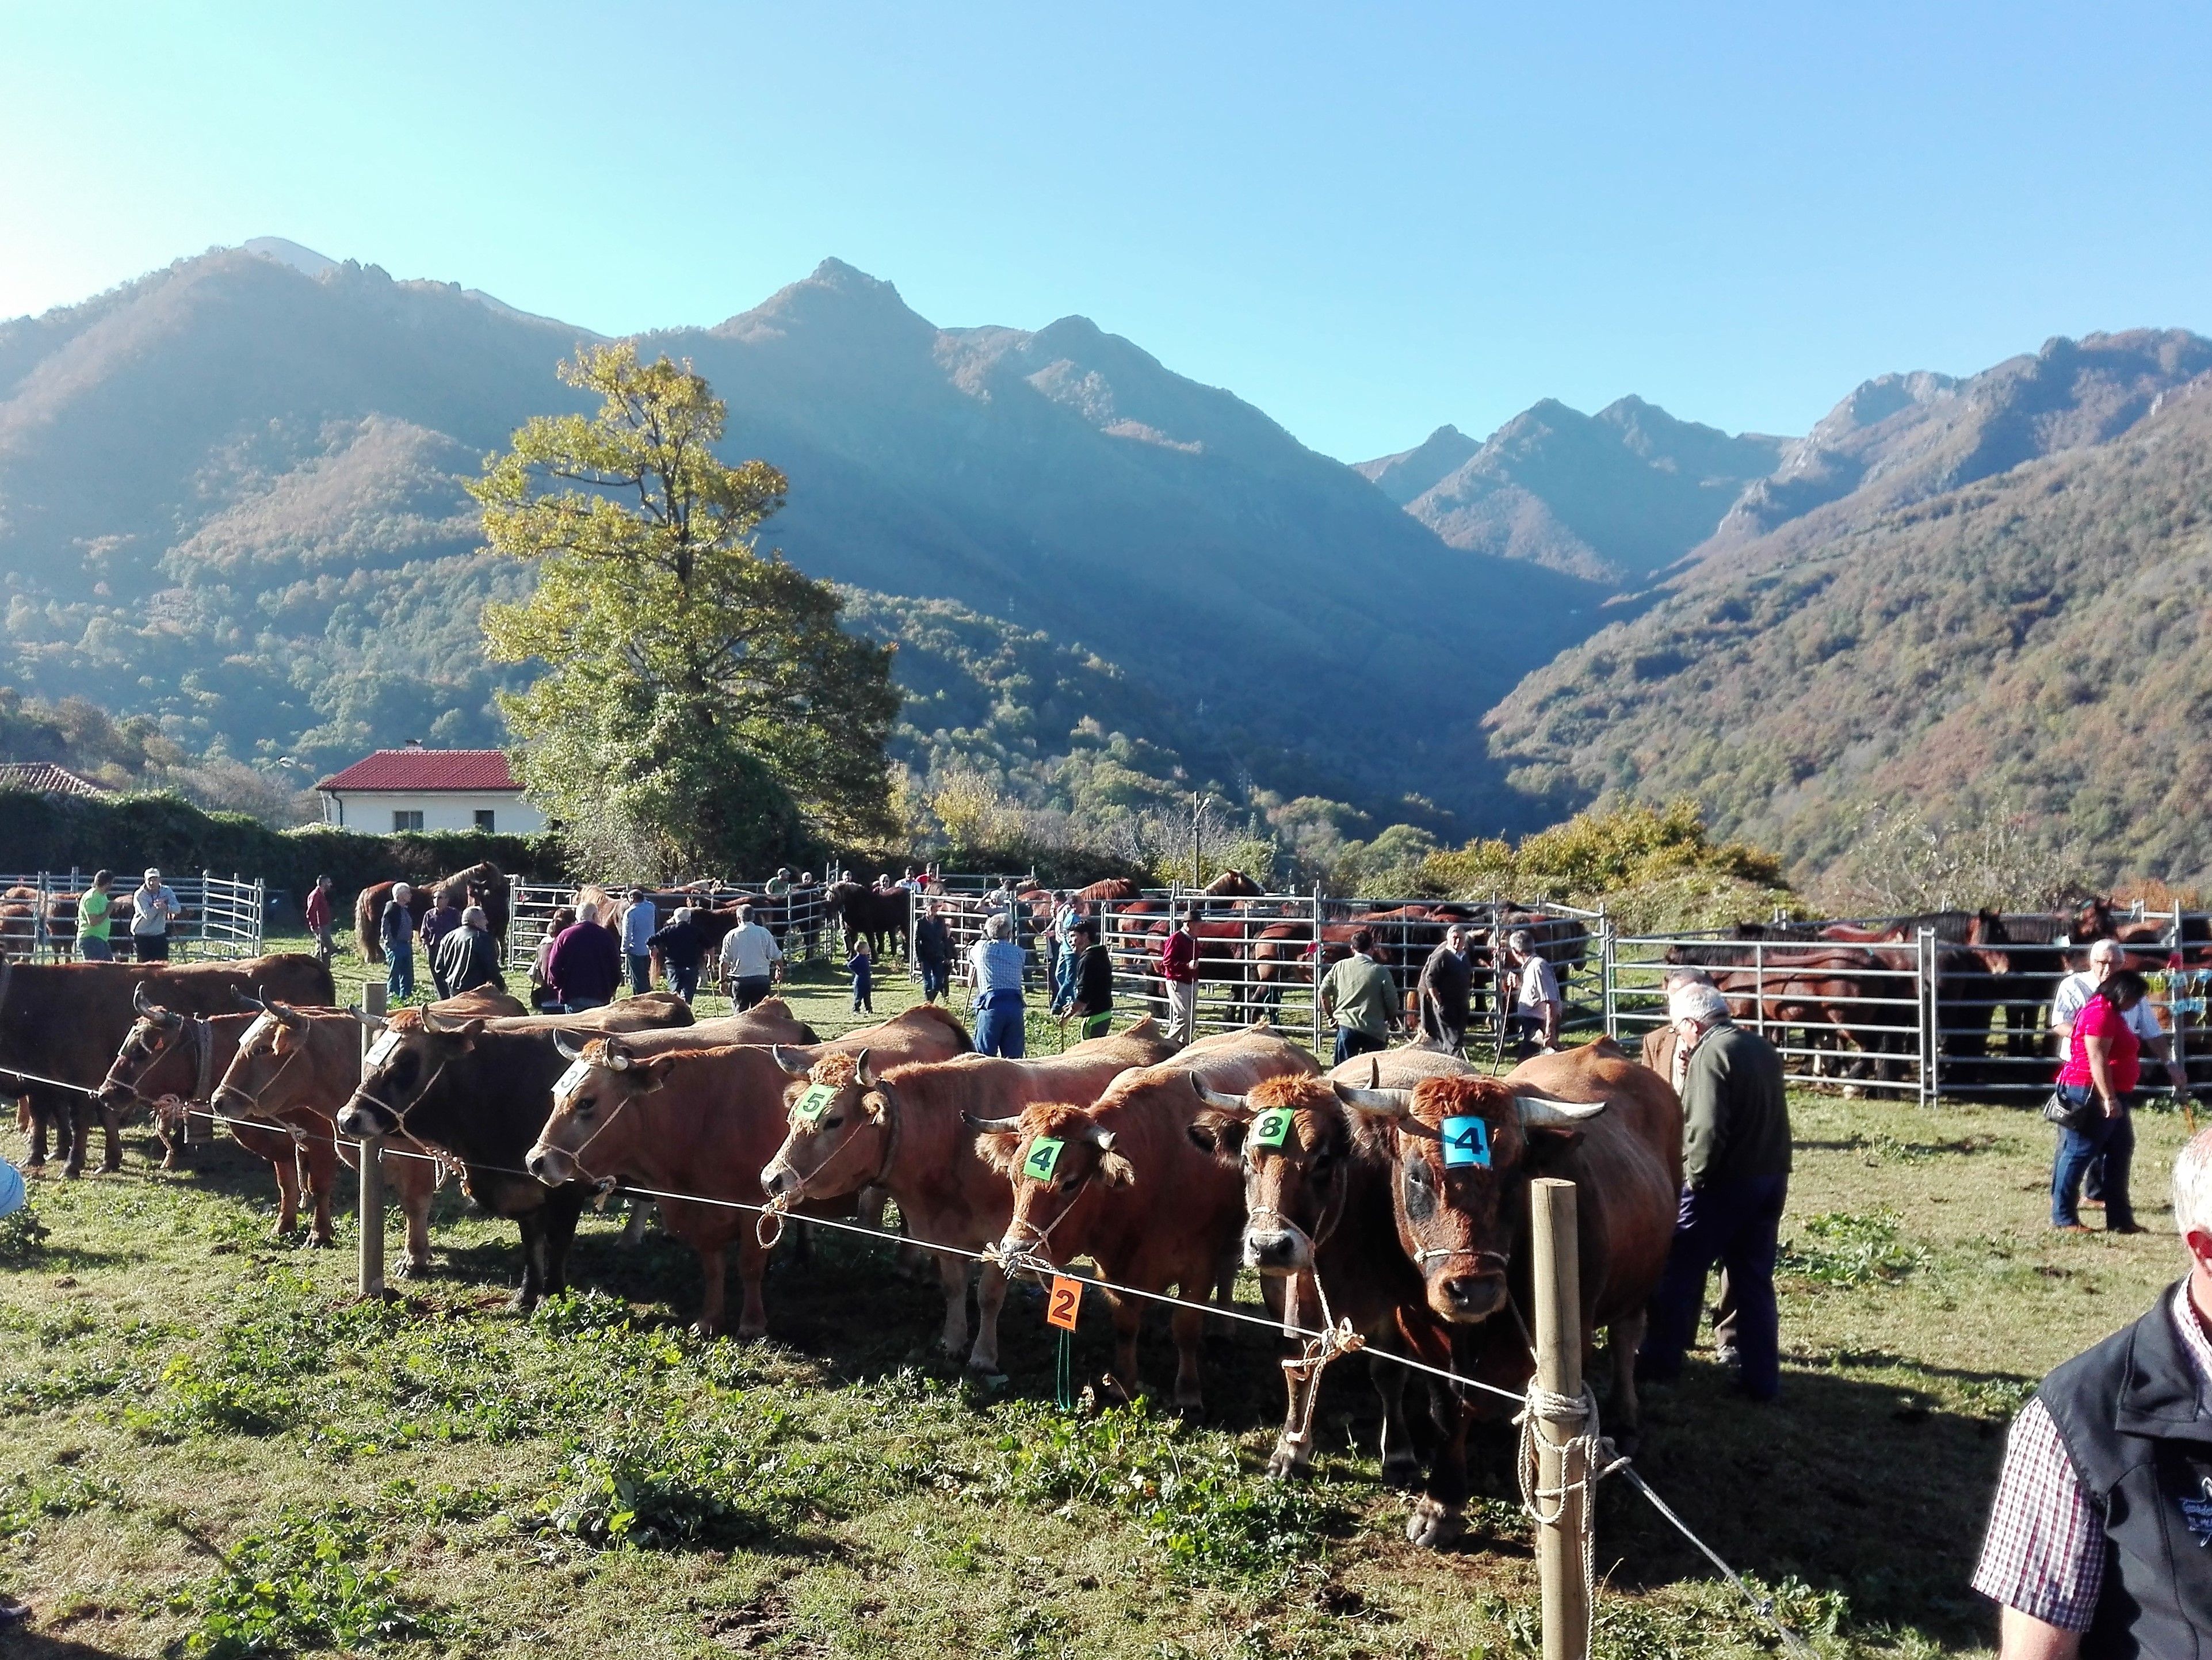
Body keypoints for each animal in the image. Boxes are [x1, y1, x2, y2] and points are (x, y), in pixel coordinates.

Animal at [522, 1000, 973, 1337]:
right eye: (556, 1093)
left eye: (587, 1102)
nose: (535, 1160)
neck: (703, 1114)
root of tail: (927, 1014)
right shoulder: (703, 1212)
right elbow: (713, 1266)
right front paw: (708, 1319)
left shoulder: (757, 1206)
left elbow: (750, 1266)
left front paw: (752, 1323)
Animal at [761, 1022, 1176, 1372]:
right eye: (793, 1115)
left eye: (834, 1120)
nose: (771, 1179)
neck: (953, 1138)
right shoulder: (944, 1234)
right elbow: (954, 1286)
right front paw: (953, 1338)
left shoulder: (1004, 1237)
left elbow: (988, 1295)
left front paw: (983, 1355)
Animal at [969, 1036, 1309, 1407]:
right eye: (1014, 1177)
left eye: (1070, 1182)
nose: (1017, 1252)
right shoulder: (1114, 1270)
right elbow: (1126, 1324)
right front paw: (1123, 1383)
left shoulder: (1198, 1267)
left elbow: (1186, 1326)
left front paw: (1188, 1390)